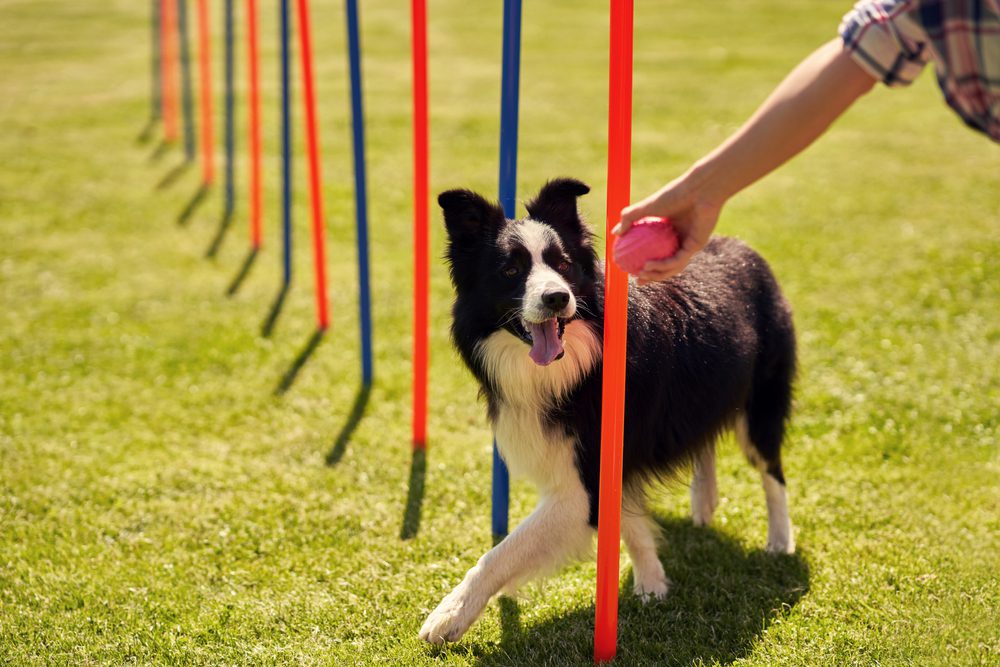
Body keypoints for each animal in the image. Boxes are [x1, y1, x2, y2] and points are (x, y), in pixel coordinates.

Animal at [420, 179, 796, 648]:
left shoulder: (583, 481)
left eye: (563, 264)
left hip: (763, 399)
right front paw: (652, 581)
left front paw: (448, 615)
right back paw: (705, 501)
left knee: (772, 470)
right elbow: (628, 520)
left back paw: (780, 540)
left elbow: (503, 552)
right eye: (510, 271)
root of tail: (741, 246)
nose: (557, 297)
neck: (575, 365)